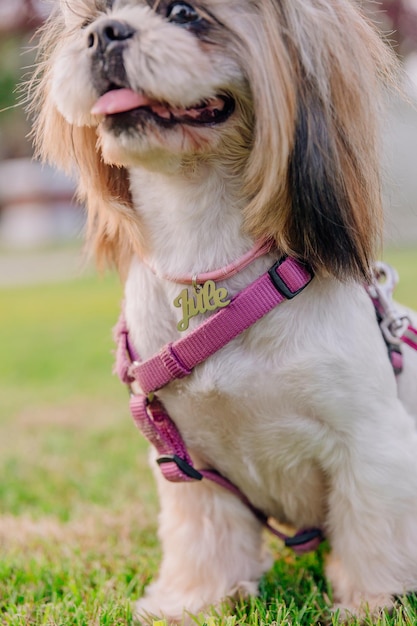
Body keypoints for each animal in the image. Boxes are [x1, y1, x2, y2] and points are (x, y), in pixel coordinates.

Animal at [30, 0, 416, 620]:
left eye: (185, 13)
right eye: (92, 18)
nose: (104, 34)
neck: (206, 256)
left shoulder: (373, 442)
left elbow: (374, 533)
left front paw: (373, 602)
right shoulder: (188, 462)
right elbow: (204, 540)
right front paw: (193, 602)